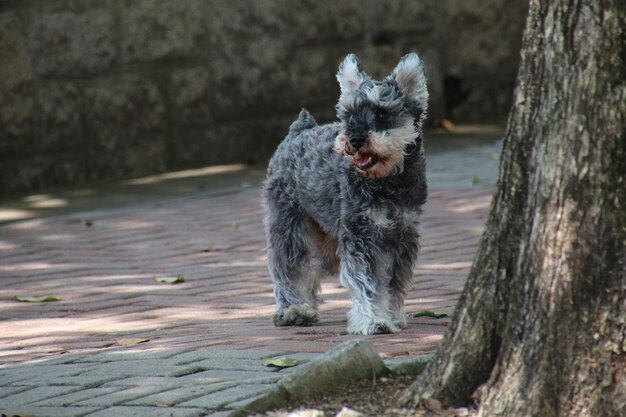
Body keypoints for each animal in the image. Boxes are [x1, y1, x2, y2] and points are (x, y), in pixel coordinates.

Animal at [260, 52, 426, 334]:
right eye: (349, 115)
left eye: (381, 113)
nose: (355, 139)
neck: (384, 181)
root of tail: (299, 130)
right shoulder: (362, 236)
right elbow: (367, 280)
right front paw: (374, 319)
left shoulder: (402, 236)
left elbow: (394, 283)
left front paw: (392, 315)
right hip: (290, 226)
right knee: (288, 266)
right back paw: (293, 309)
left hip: (329, 239)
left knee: (313, 268)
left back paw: (306, 306)